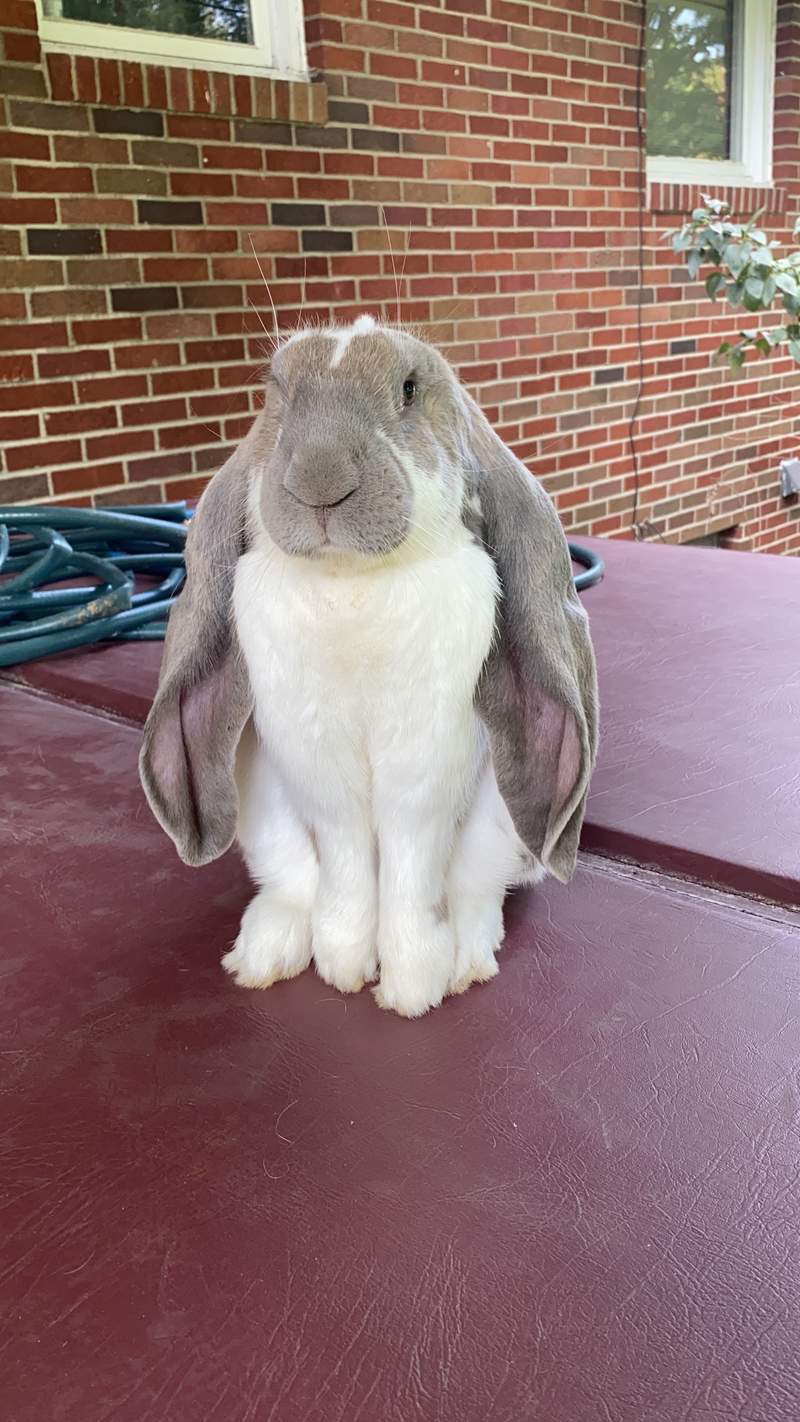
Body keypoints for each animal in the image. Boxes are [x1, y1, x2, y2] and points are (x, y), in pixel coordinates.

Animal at [139, 314, 598, 1017]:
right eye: (276, 390)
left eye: (409, 389)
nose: (320, 480)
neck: (350, 581)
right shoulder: (320, 765)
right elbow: (347, 852)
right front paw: (344, 967)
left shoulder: (424, 764)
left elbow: (412, 860)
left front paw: (412, 989)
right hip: (263, 814)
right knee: (293, 885)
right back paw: (263, 955)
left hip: (502, 832)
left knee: (475, 891)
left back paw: (464, 959)